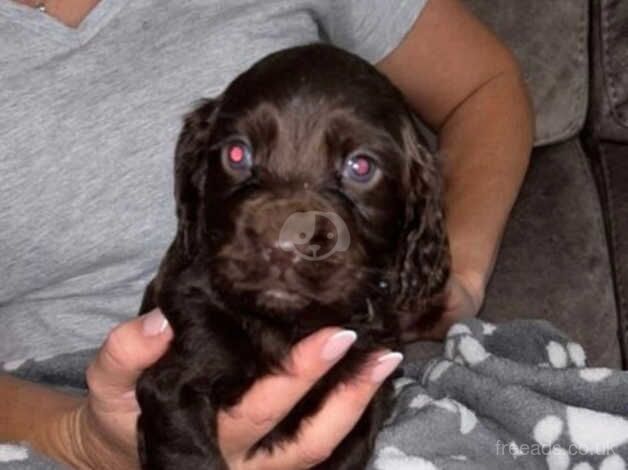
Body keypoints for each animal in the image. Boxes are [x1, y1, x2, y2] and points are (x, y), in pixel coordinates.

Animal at [138, 44, 452, 470]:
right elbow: (191, 455)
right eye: (237, 153)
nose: (283, 245)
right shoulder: (176, 381)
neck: (285, 326)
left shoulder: (365, 400)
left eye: (361, 166)